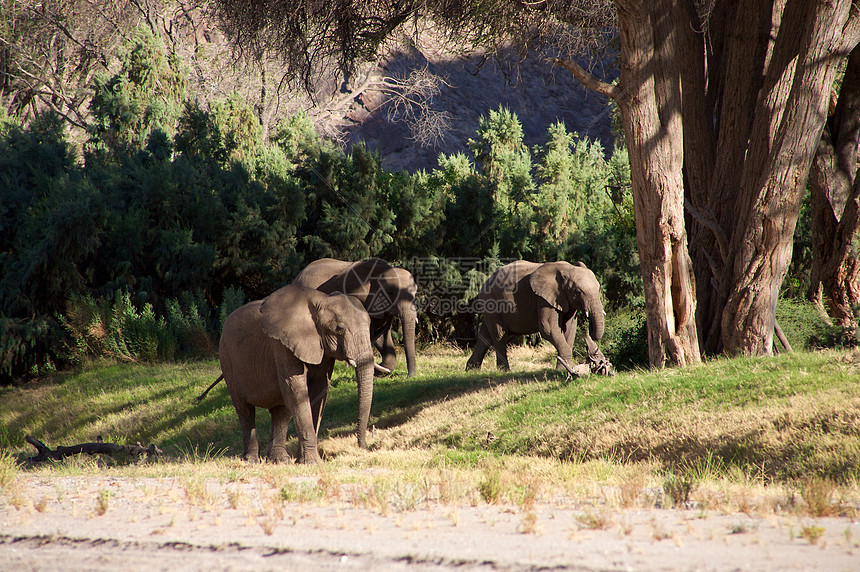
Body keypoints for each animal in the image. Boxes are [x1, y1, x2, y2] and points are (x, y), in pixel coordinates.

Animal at [217, 284, 374, 462]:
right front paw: (312, 462)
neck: (320, 300)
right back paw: (251, 460)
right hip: (227, 359)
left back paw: (280, 459)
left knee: (281, 411)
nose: (364, 447)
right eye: (339, 328)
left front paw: (304, 460)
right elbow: (296, 389)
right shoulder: (282, 344)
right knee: (245, 410)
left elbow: (319, 391)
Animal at [464, 260, 612, 376]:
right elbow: (548, 329)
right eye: (578, 292)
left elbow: (570, 330)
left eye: (598, 288)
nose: (588, 329)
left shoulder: (566, 300)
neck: (568, 268)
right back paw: (504, 371)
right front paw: (563, 370)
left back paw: (471, 370)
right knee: (500, 335)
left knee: (485, 336)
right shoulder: (543, 299)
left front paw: (562, 368)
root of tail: (485, 282)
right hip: (492, 303)